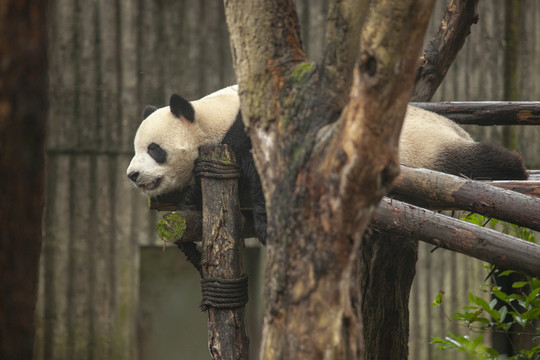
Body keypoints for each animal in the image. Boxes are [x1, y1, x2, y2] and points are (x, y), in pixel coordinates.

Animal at [127, 85, 528, 245]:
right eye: (135, 150)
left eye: (155, 150)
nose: (132, 174)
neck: (215, 117)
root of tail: (456, 127)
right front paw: (189, 199)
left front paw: (268, 224)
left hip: (427, 145)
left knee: (473, 159)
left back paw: (516, 167)